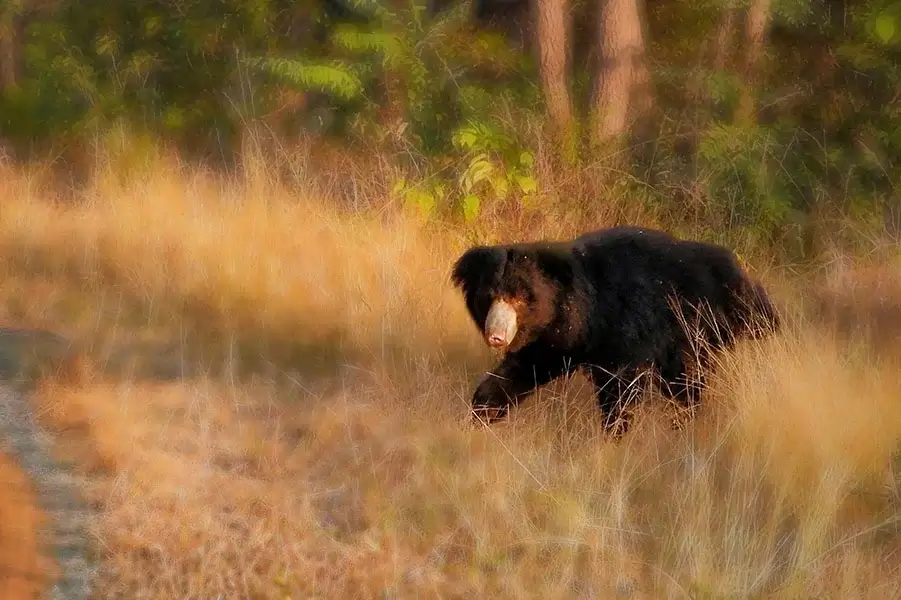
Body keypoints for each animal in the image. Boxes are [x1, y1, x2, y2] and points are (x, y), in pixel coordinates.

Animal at [450, 225, 780, 436]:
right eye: (489, 297)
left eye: (519, 299)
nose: (496, 335)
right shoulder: (555, 339)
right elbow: (521, 369)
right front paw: (479, 415)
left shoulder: (624, 330)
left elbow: (620, 387)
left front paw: (615, 434)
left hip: (700, 325)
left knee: (687, 384)